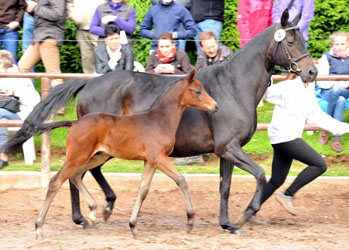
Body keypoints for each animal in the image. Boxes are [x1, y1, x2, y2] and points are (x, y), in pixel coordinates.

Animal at [33, 70, 218, 238]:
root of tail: (75, 123)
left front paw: (133, 226)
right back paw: (39, 227)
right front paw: (190, 222)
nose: (215, 106)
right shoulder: (159, 158)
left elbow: (143, 190)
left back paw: (93, 211)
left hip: (98, 155)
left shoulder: (150, 161)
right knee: (56, 181)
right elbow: (181, 181)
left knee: (76, 175)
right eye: (198, 91)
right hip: (77, 156)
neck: (160, 120)